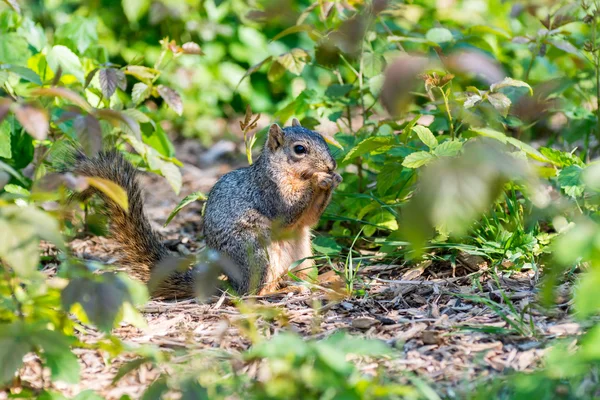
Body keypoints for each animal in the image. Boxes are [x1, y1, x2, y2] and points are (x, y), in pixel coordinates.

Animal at [69, 119, 342, 300]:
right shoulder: (269, 192)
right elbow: (288, 210)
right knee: (252, 293)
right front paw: (319, 179)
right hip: (255, 254)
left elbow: (309, 218)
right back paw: (282, 291)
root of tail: (230, 283)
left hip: (302, 254)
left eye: (320, 137)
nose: (331, 165)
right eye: (299, 149)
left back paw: (322, 280)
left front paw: (334, 179)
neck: (285, 171)